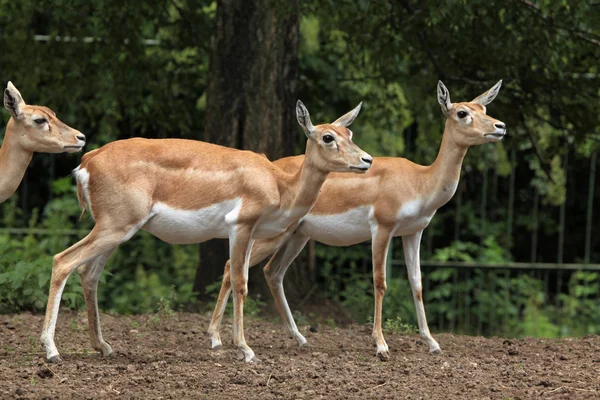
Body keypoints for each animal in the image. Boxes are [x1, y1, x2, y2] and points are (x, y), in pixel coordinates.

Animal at [39, 99, 372, 362]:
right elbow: (240, 282)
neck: (280, 185)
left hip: (117, 230)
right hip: (115, 226)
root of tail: (86, 161)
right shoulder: (240, 226)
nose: (366, 160)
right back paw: (52, 351)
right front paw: (246, 350)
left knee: (88, 273)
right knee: (62, 261)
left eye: (350, 133)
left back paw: (104, 347)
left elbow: (240, 278)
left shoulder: (252, 233)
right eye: (328, 137)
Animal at [207, 79, 506, 358]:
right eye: (462, 112)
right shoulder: (383, 227)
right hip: (272, 234)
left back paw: (299, 338)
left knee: (272, 272)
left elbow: (418, 284)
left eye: (484, 108)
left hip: (297, 235)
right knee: (231, 267)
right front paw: (381, 344)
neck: (420, 181)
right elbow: (380, 282)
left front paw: (432, 342)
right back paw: (217, 339)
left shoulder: (414, 231)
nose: (500, 126)